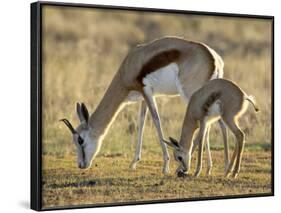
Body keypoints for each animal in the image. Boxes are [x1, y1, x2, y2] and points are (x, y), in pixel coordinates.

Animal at [60, 35, 228, 174]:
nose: (81, 164)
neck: (129, 66)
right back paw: (217, 168)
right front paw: (134, 162)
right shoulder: (144, 97)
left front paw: (165, 166)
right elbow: (141, 123)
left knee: (207, 123)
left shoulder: (146, 91)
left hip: (191, 95)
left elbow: (156, 121)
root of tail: (213, 57)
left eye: (80, 140)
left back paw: (194, 168)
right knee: (220, 123)